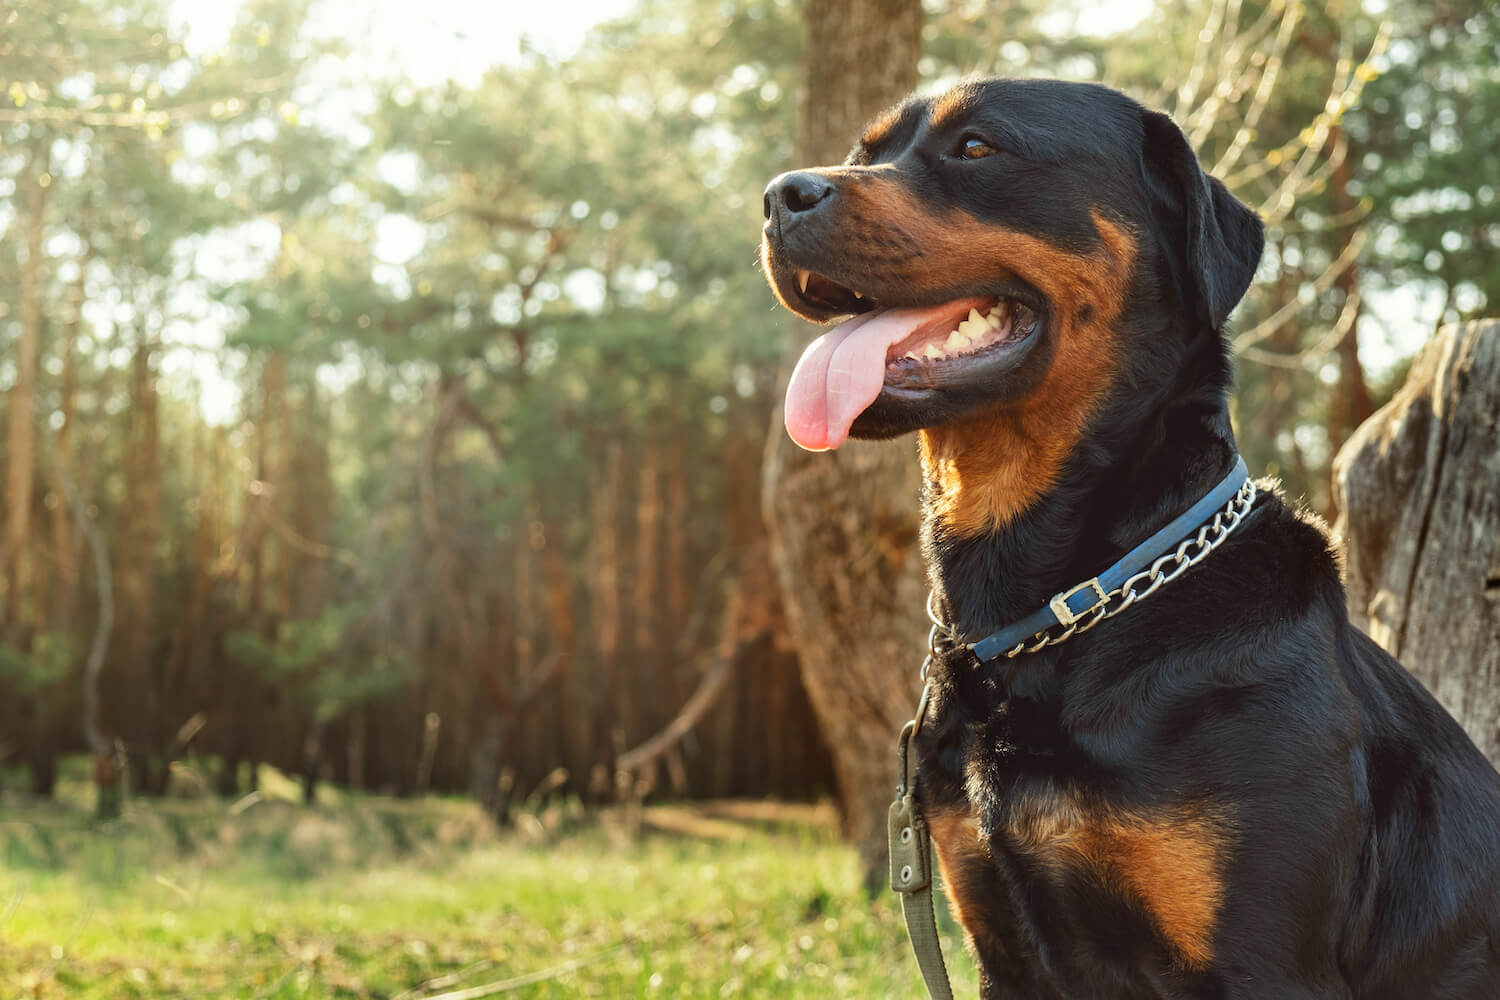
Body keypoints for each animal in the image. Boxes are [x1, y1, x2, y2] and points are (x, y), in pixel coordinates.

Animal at [762, 80, 1500, 1000]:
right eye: (864, 155)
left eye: (976, 148)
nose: (779, 196)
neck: (1066, 608)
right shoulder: (1003, 945)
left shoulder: (1262, 958)